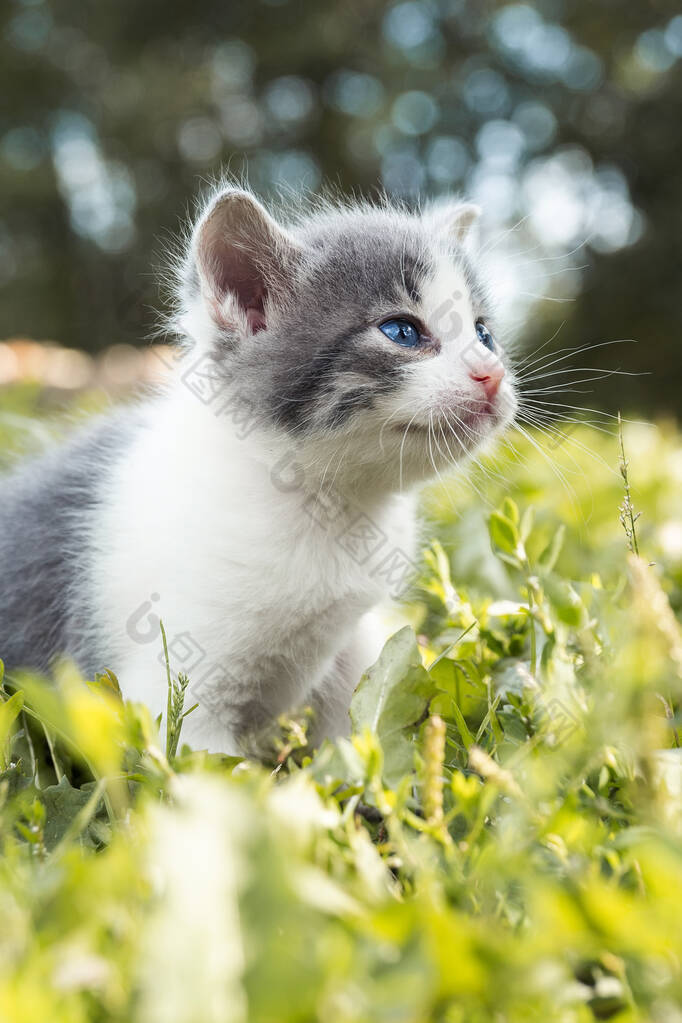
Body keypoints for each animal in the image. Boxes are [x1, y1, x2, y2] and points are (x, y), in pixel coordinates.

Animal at [0, 188, 517, 757]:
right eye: (401, 331)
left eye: (484, 334)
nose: (492, 373)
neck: (327, 504)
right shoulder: (171, 679)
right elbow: (211, 768)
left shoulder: (351, 637)